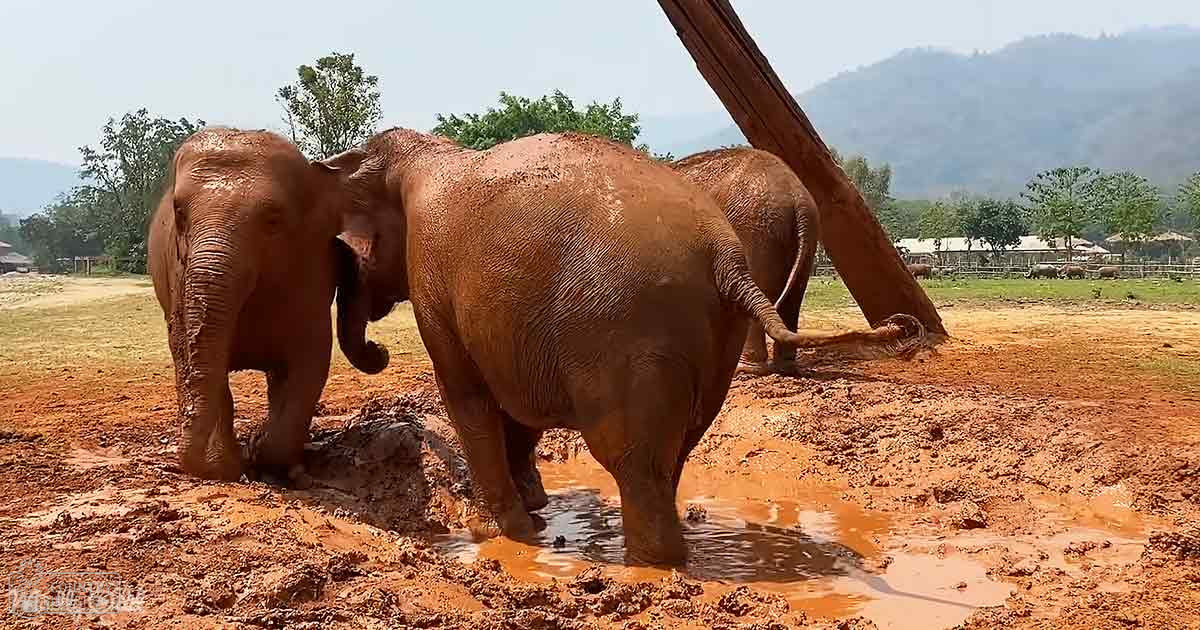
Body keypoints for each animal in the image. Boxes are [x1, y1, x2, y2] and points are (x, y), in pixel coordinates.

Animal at [148, 128, 387, 481]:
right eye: (179, 213)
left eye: (273, 220)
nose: (379, 349)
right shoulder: (178, 277)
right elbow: (193, 353)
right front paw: (225, 468)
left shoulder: (311, 274)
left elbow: (310, 362)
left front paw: (264, 455)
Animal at [671, 147, 820, 374]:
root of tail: (796, 195)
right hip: (807, 234)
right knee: (794, 296)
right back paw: (785, 367)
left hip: (754, 230)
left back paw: (746, 368)